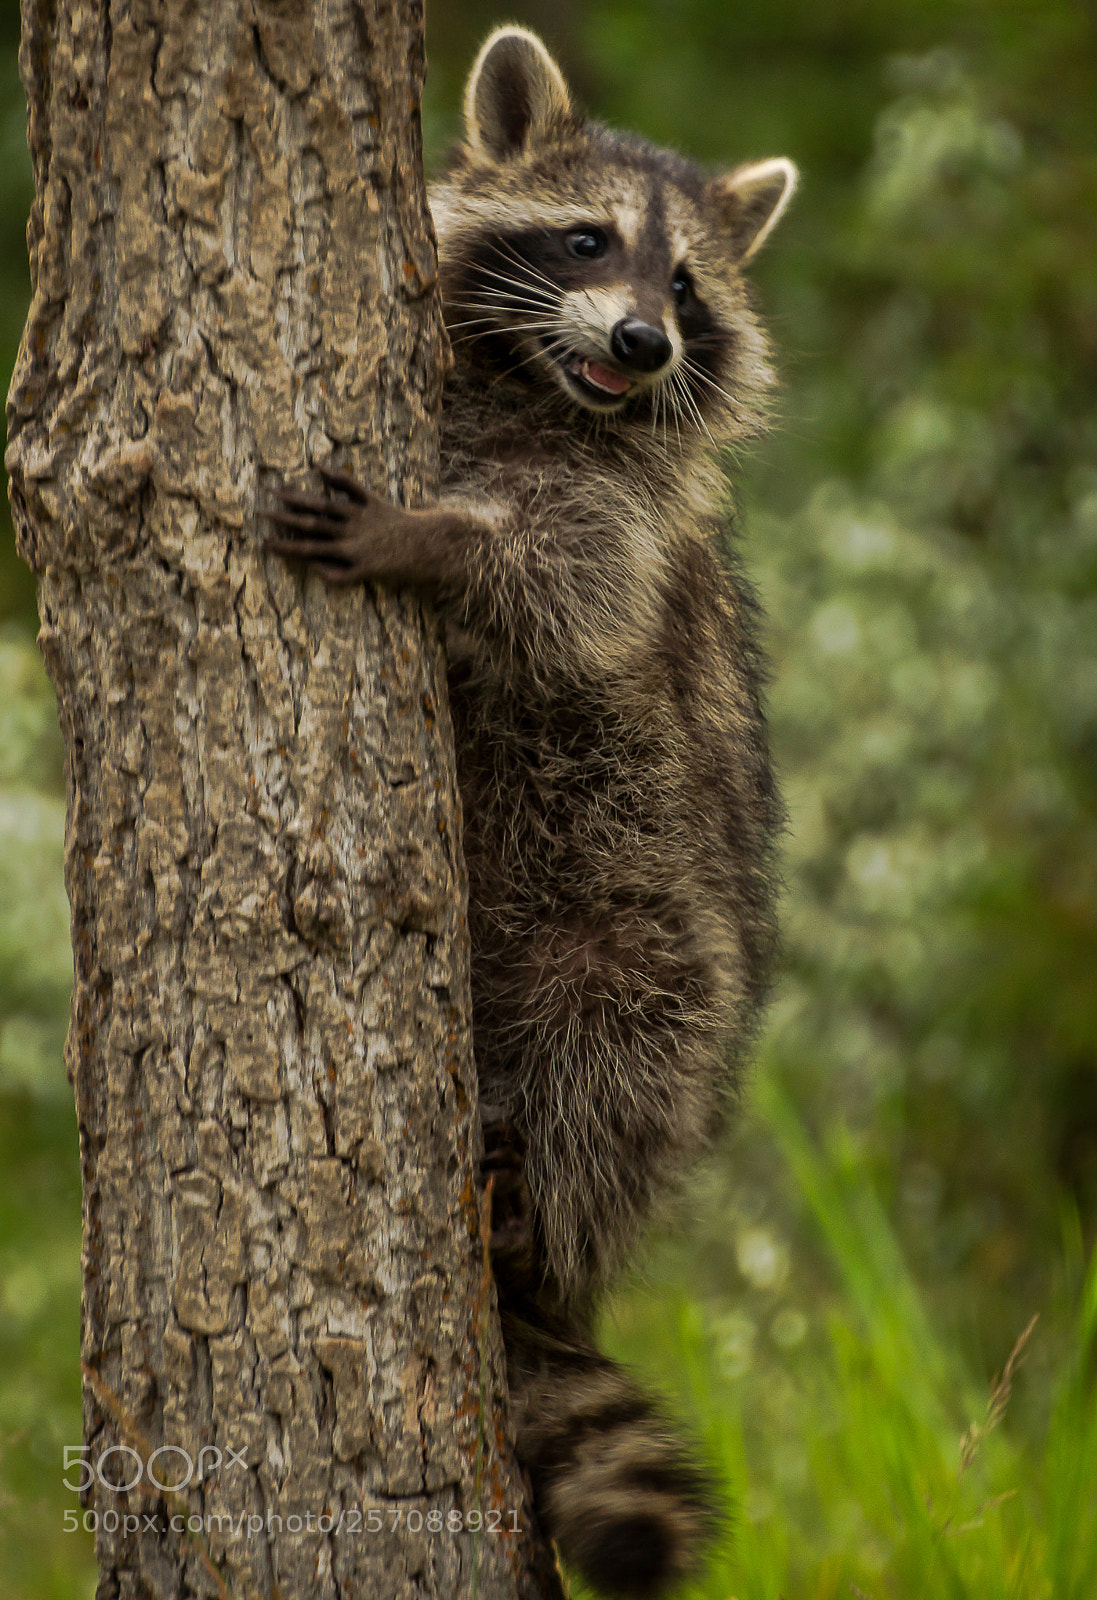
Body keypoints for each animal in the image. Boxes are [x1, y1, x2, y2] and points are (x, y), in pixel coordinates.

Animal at [269, 25, 796, 1598]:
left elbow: (567, 580)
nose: (642, 344)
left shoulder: (629, 520)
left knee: (614, 1064)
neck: (542, 388)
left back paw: (535, 1221)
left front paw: (436, 543)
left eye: (686, 289)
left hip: (649, 944)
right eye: (584, 241)